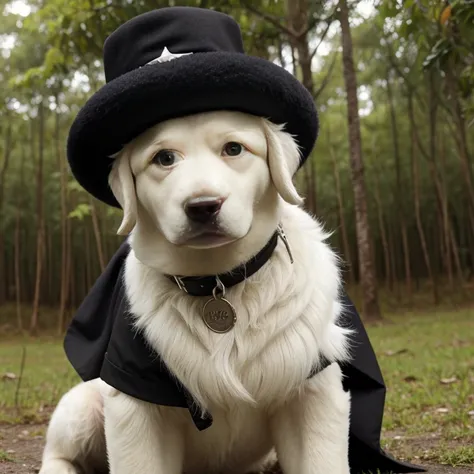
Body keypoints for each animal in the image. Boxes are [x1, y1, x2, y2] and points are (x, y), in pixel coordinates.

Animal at [39, 111, 352, 474]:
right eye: (164, 158)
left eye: (234, 148)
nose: (203, 206)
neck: (217, 281)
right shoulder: (134, 403)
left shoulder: (311, 389)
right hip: (82, 404)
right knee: (57, 451)